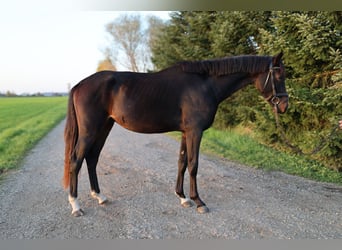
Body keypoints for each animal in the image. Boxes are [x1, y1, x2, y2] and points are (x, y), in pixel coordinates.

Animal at [63, 51, 288, 216]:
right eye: (279, 76)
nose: (284, 106)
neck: (205, 85)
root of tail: (79, 85)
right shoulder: (195, 131)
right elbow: (193, 164)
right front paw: (199, 202)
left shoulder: (186, 132)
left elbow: (182, 162)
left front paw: (183, 197)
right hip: (90, 130)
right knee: (76, 160)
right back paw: (76, 205)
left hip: (104, 127)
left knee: (92, 158)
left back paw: (99, 196)